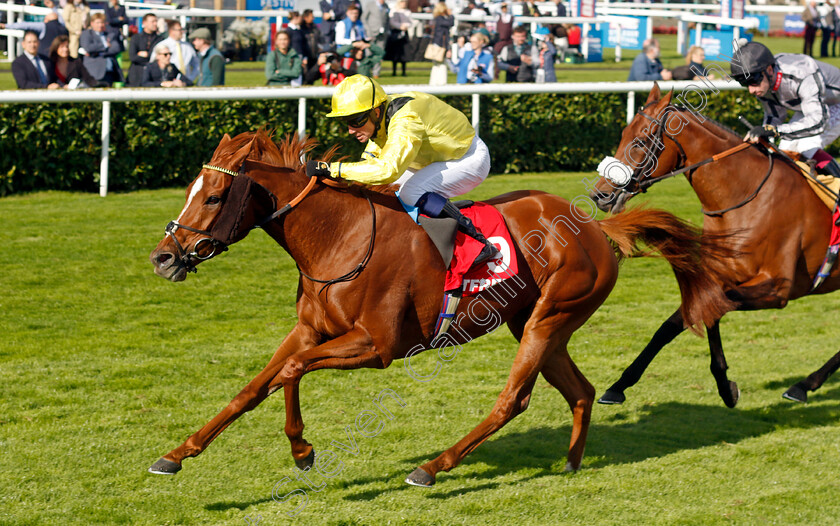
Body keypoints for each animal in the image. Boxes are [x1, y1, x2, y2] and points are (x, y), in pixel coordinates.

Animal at [148, 130, 732, 488]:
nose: (163, 257)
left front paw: (302, 450)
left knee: (513, 399)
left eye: (214, 197)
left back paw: (433, 467)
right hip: (536, 322)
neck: (339, 237)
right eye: (190, 188)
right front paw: (176, 454)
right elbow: (254, 387)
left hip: (549, 318)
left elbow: (290, 372)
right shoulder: (310, 330)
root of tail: (596, 226)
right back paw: (570, 462)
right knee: (581, 391)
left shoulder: (376, 346)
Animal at [592, 85, 840, 408]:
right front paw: (619, 385)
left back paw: (804, 385)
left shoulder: (778, 288)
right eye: (623, 134)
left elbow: (709, 309)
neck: (746, 197)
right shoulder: (721, 277)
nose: (600, 195)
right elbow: (683, 319)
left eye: (641, 141)